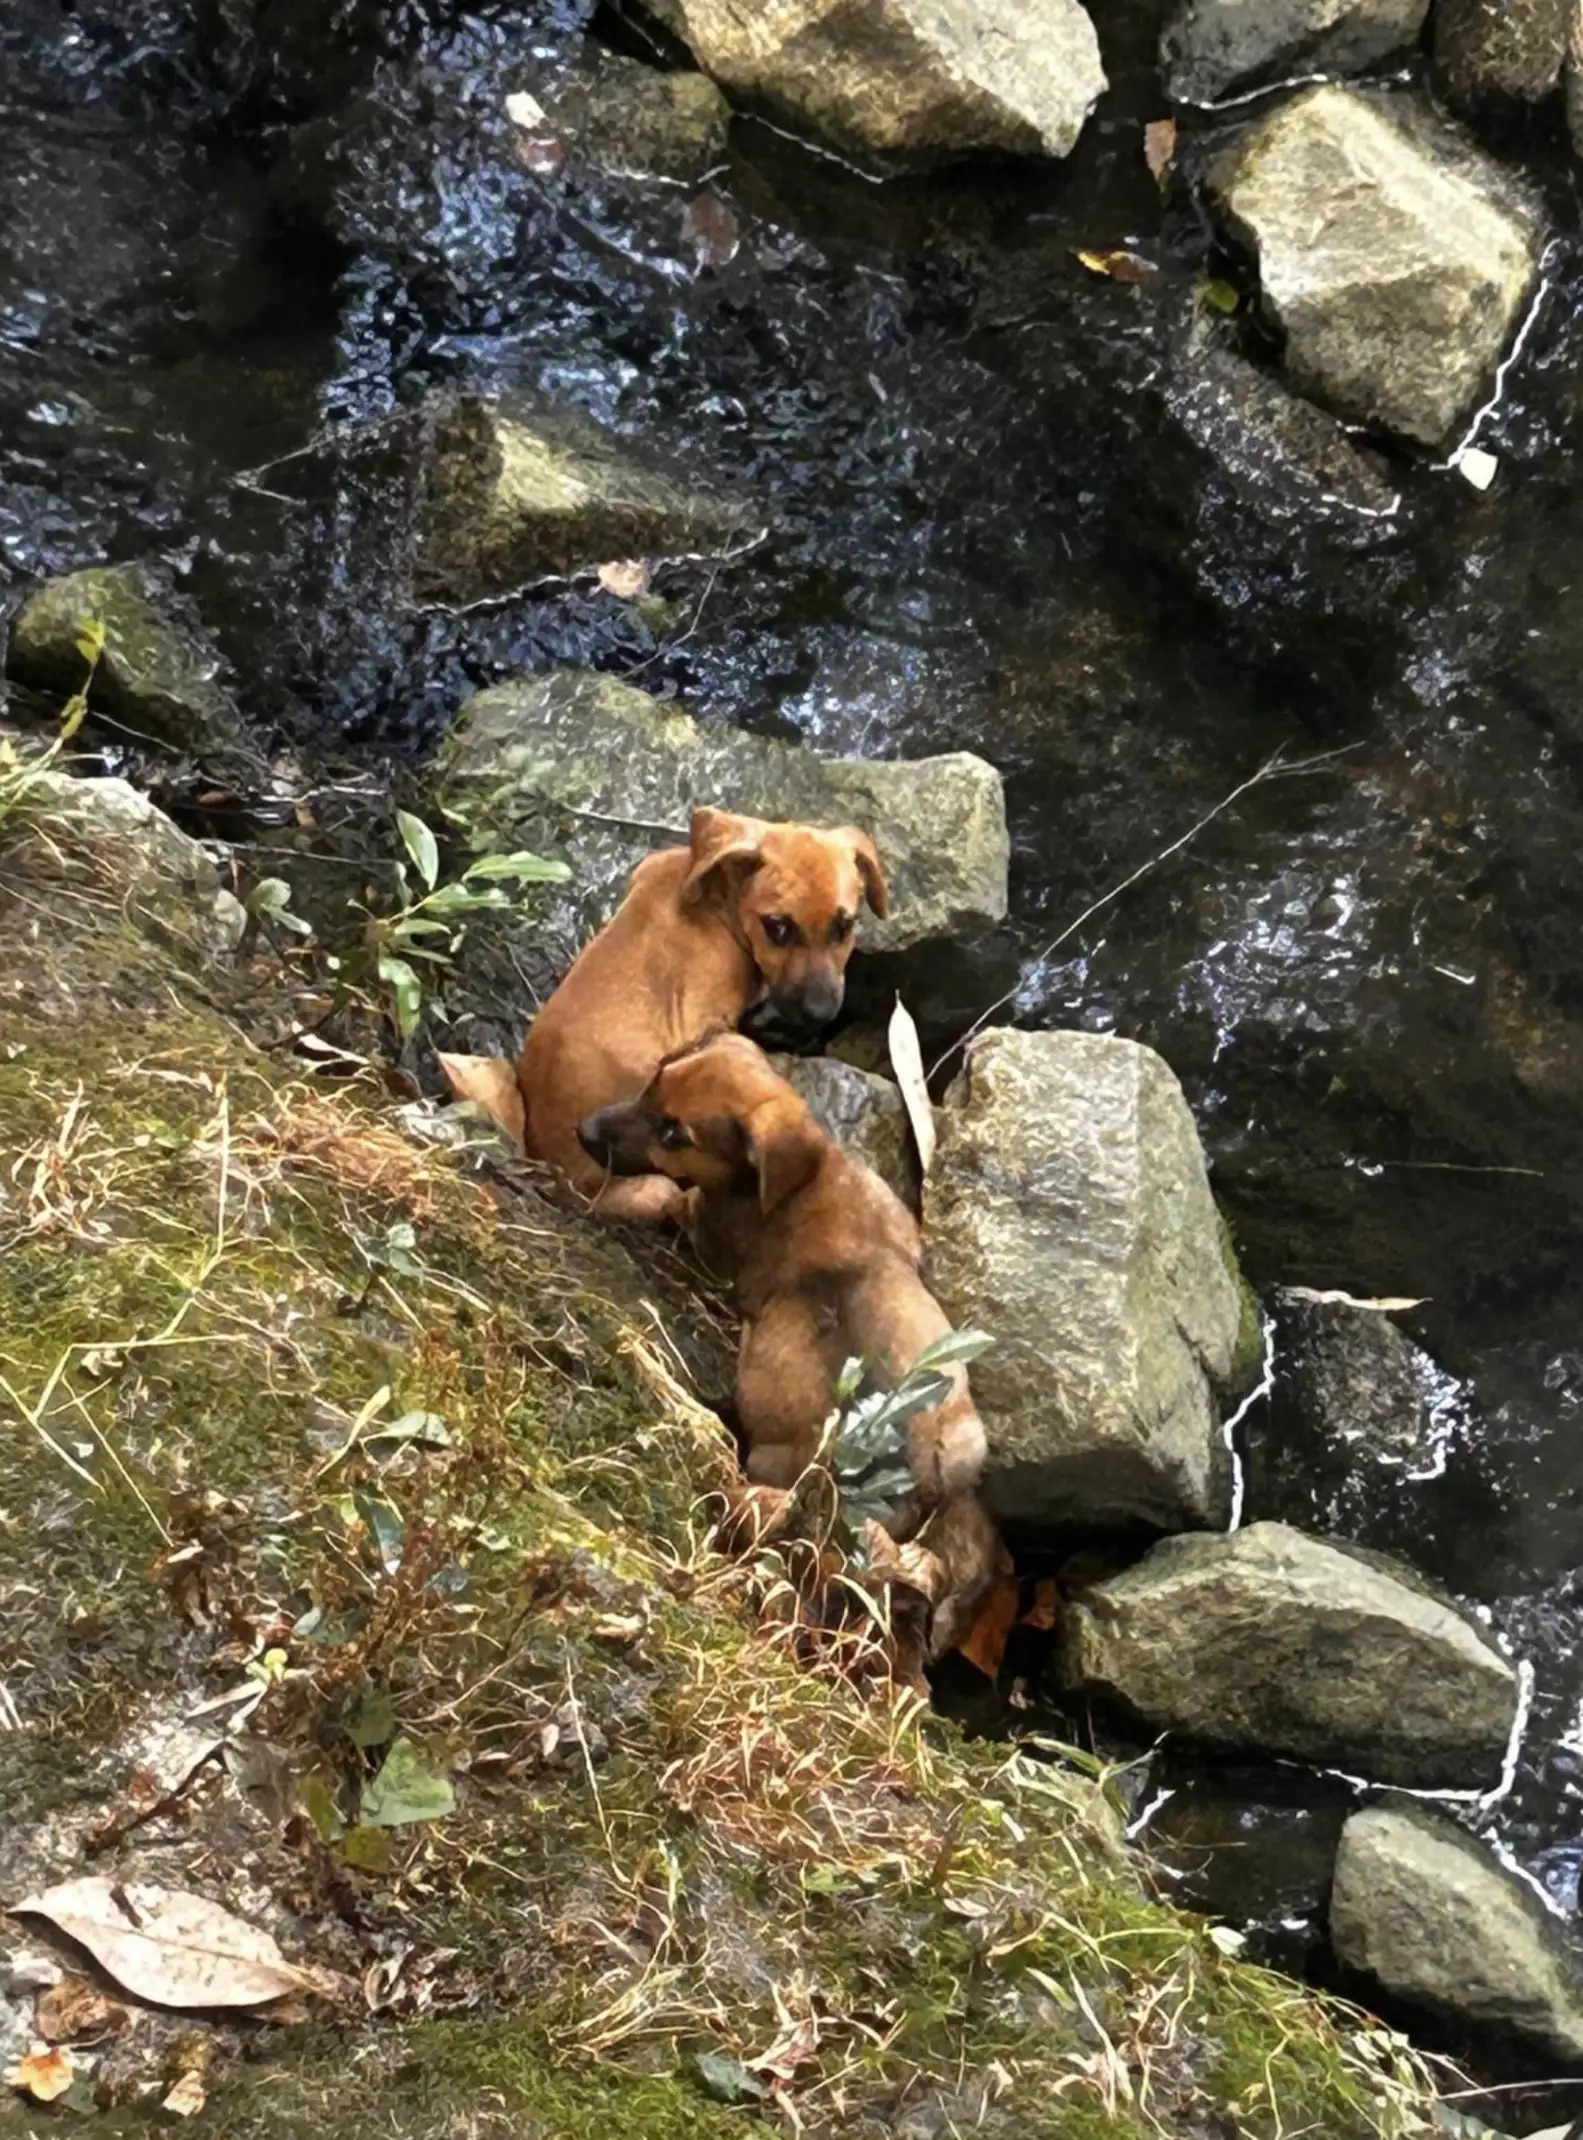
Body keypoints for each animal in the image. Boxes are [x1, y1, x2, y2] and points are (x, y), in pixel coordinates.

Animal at [519, 813, 889, 1232]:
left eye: (845, 927)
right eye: (777, 927)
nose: (820, 1013)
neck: (716, 902)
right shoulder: (707, 1021)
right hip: (655, 1186)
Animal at [577, 1035, 1001, 1652]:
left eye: (675, 1133)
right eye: (655, 1077)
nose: (582, 1132)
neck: (806, 1177)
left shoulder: (704, 1227)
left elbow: (667, 1200)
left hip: (770, 1463)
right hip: (967, 1435)